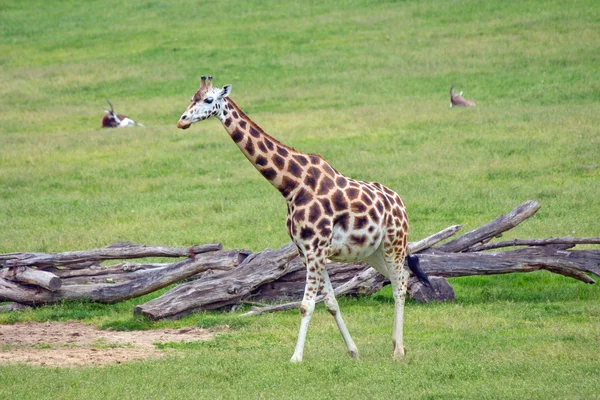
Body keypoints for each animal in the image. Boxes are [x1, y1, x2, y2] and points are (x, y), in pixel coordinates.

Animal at [175, 76, 432, 362]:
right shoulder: (306, 251)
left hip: (394, 243)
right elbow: (330, 302)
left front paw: (296, 358)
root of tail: (401, 203)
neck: (291, 185)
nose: (182, 121)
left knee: (400, 284)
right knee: (402, 277)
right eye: (191, 97)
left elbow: (306, 305)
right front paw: (353, 351)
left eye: (209, 99)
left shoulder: (315, 248)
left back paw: (398, 350)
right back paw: (399, 345)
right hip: (372, 252)